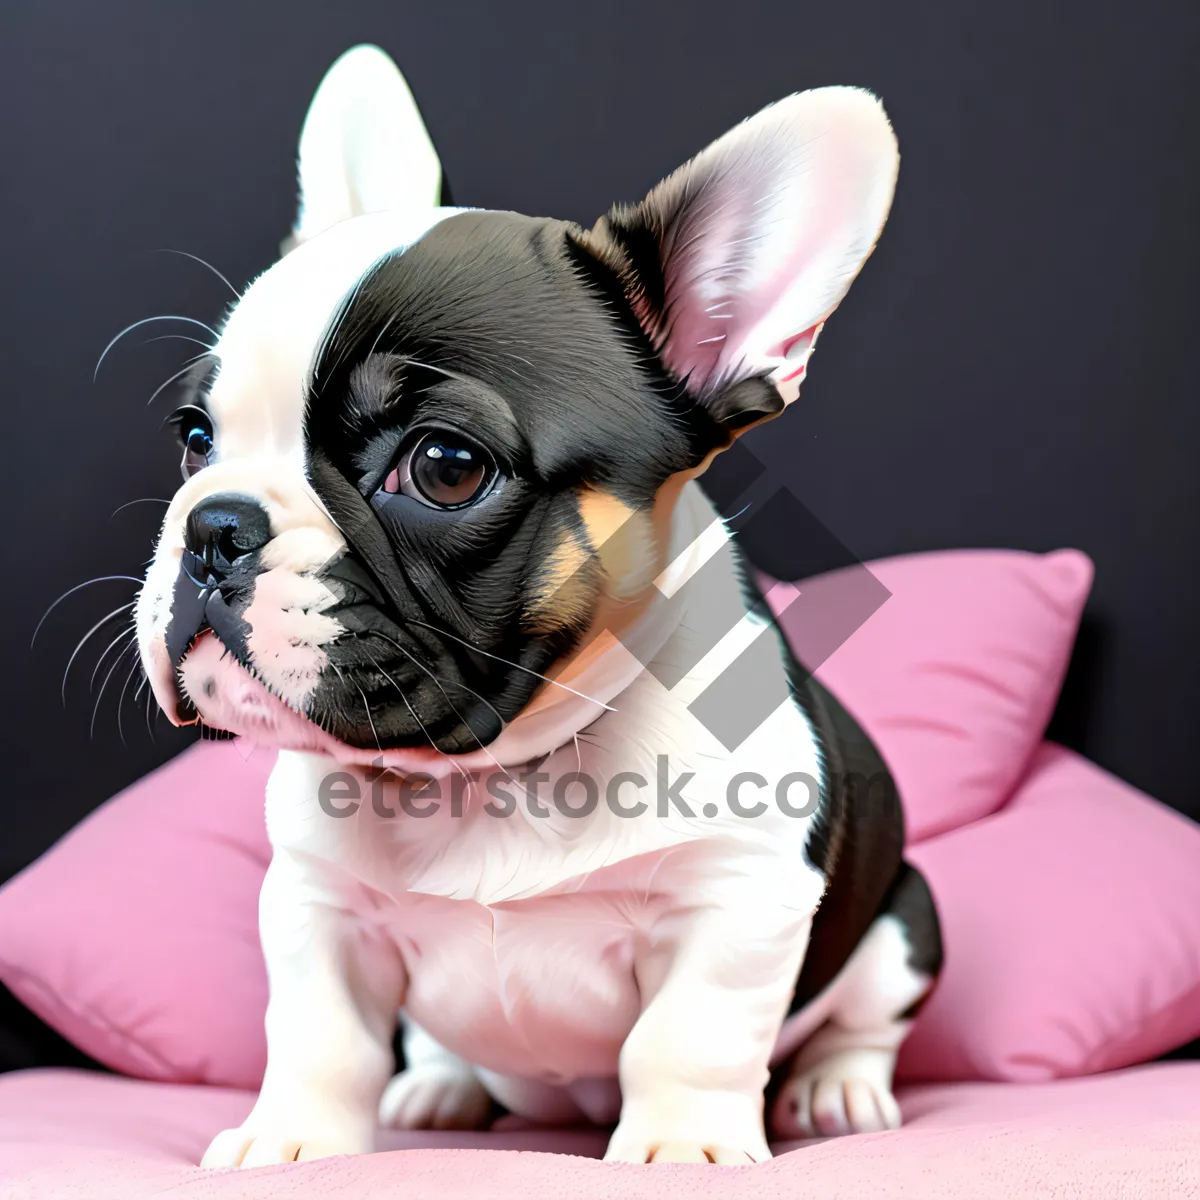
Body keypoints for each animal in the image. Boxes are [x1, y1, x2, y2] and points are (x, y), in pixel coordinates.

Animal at [136, 49, 936, 1171]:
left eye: (445, 466)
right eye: (196, 437)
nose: (214, 527)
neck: (493, 778)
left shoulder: (741, 894)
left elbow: (688, 1036)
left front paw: (682, 1146)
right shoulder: (314, 905)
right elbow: (321, 1035)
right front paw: (292, 1140)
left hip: (905, 922)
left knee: (867, 1019)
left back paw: (839, 1090)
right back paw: (438, 1091)